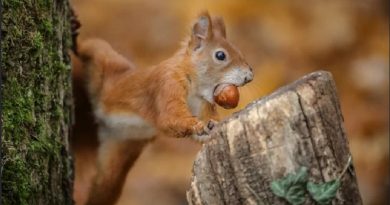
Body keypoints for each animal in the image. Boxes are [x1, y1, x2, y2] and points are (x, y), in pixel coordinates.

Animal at [71, 11, 253, 205]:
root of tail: (103, 122)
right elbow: (169, 119)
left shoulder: (201, 104)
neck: (194, 86)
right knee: (92, 47)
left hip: (119, 153)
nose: (249, 76)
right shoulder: (167, 84)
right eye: (220, 55)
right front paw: (198, 125)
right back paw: (74, 33)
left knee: (105, 187)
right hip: (107, 63)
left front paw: (211, 126)